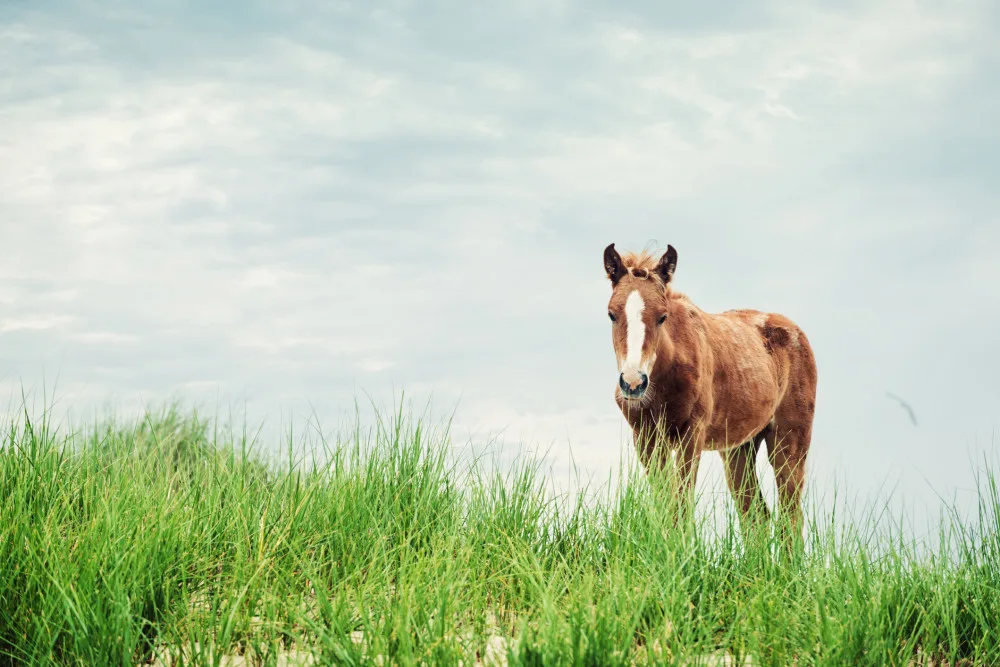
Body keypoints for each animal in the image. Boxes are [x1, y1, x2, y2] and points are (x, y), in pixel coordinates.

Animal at [604, 243, 816, 544]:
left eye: (662, 317)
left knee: (790, 516)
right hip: (739, 448)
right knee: (756, 516)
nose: (633, 383)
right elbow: (662, 501)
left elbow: (681, 505)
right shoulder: (645, 438)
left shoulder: (691, 434)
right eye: (612, 314)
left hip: (790, 440)